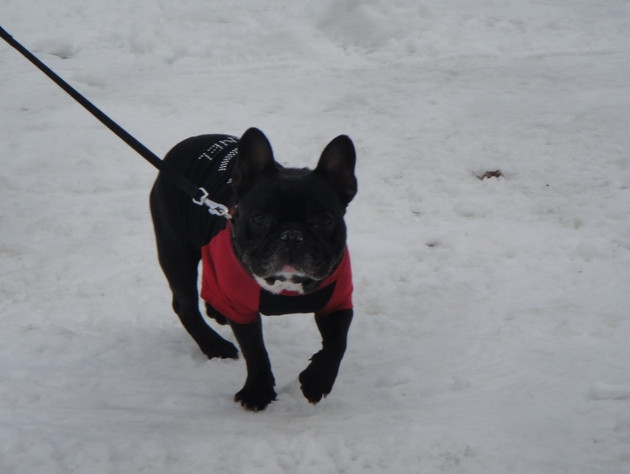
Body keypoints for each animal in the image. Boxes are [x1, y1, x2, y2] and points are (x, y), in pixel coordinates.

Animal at [148, 127, 356, 412]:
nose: (292, 235)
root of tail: (187, 143)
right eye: (260, 219)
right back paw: (215, 346)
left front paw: (317, 380)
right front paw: (258, 391)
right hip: (176, 251)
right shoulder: (241, 307)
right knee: (184, 305)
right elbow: (255, 351)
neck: (285, 284)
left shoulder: (337, 300)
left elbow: (338, 343)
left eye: (324, 221)